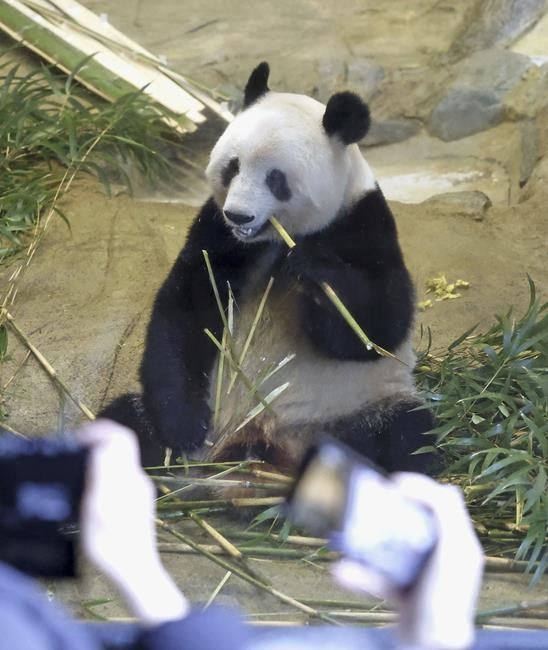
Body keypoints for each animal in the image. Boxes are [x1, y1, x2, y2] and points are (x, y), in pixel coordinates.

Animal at [103, 60, 434, 474]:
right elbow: (187, 308)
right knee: (123, 421)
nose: (239, 215)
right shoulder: (217, 233)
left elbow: (380, 325)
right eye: (232, 167)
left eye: (276, 178)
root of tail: (257, 443)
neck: (273, 239)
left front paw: (316, 270)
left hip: (351, 408)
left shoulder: (363, 222)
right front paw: (183, 424)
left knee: (404, 435)